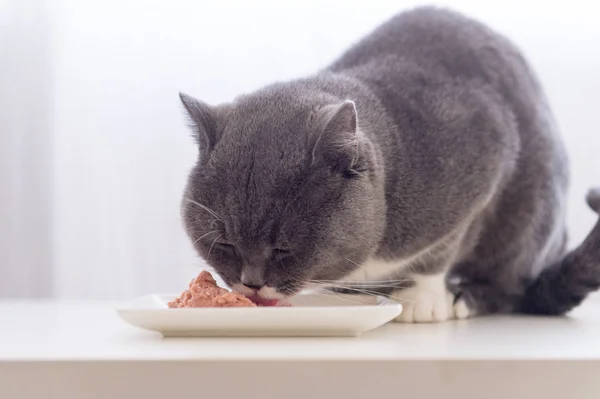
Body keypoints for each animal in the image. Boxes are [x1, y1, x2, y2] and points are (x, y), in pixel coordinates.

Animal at [179, 6, 600, 324]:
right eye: (224, 243)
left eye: (284, 248)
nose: (251, 283)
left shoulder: (481, 161)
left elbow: (442, 250)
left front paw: (423, 299)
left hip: (530, 215)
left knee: (510, 285)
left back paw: (466, 297)